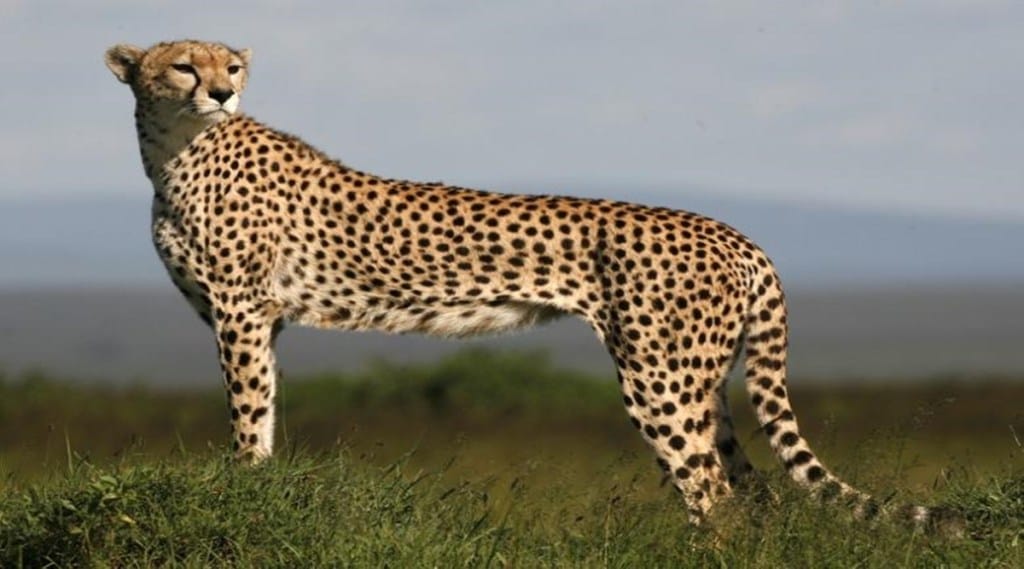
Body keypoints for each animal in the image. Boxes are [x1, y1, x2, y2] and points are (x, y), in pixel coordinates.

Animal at [104, 39, 946, 529]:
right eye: (185, 65)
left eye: (232, 66)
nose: (221, 92)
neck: (176, 147)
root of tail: (737, 235)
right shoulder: (262, 319)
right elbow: (267, 407)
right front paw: (259, 483)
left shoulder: (241, 313)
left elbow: (248, 413)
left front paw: (243, 487)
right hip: (705, 383)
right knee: (753, 495)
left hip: (661, 380)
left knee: (715, 496)